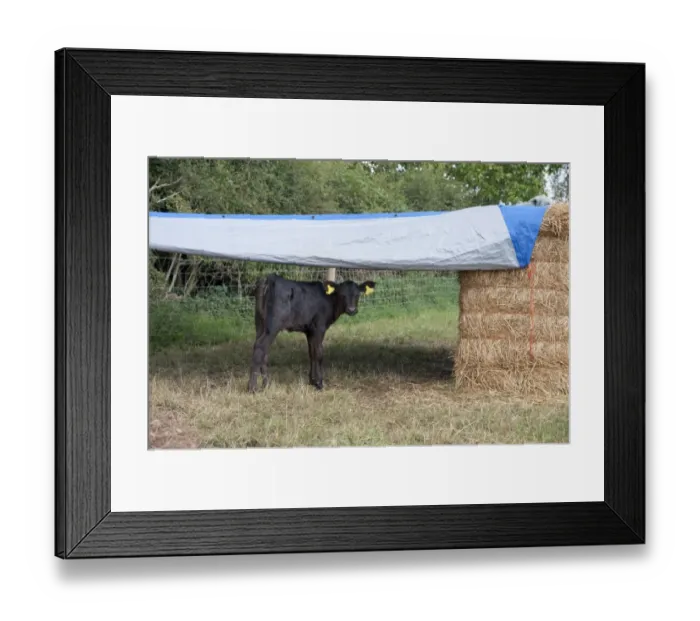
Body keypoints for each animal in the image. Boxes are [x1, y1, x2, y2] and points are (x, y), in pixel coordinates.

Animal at [247, 274, 376, 393]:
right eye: (342, 295)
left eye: (357, 294)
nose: (351, 310)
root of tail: (269, 278)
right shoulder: (319, 327)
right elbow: (319, 353)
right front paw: (319, 383)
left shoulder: (310, 331)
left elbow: (311, 353)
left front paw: (312, 381)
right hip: (274, 324)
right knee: (260, 346)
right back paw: (252, 388)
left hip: (260, 323)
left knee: (262, 349)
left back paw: (266, 384)